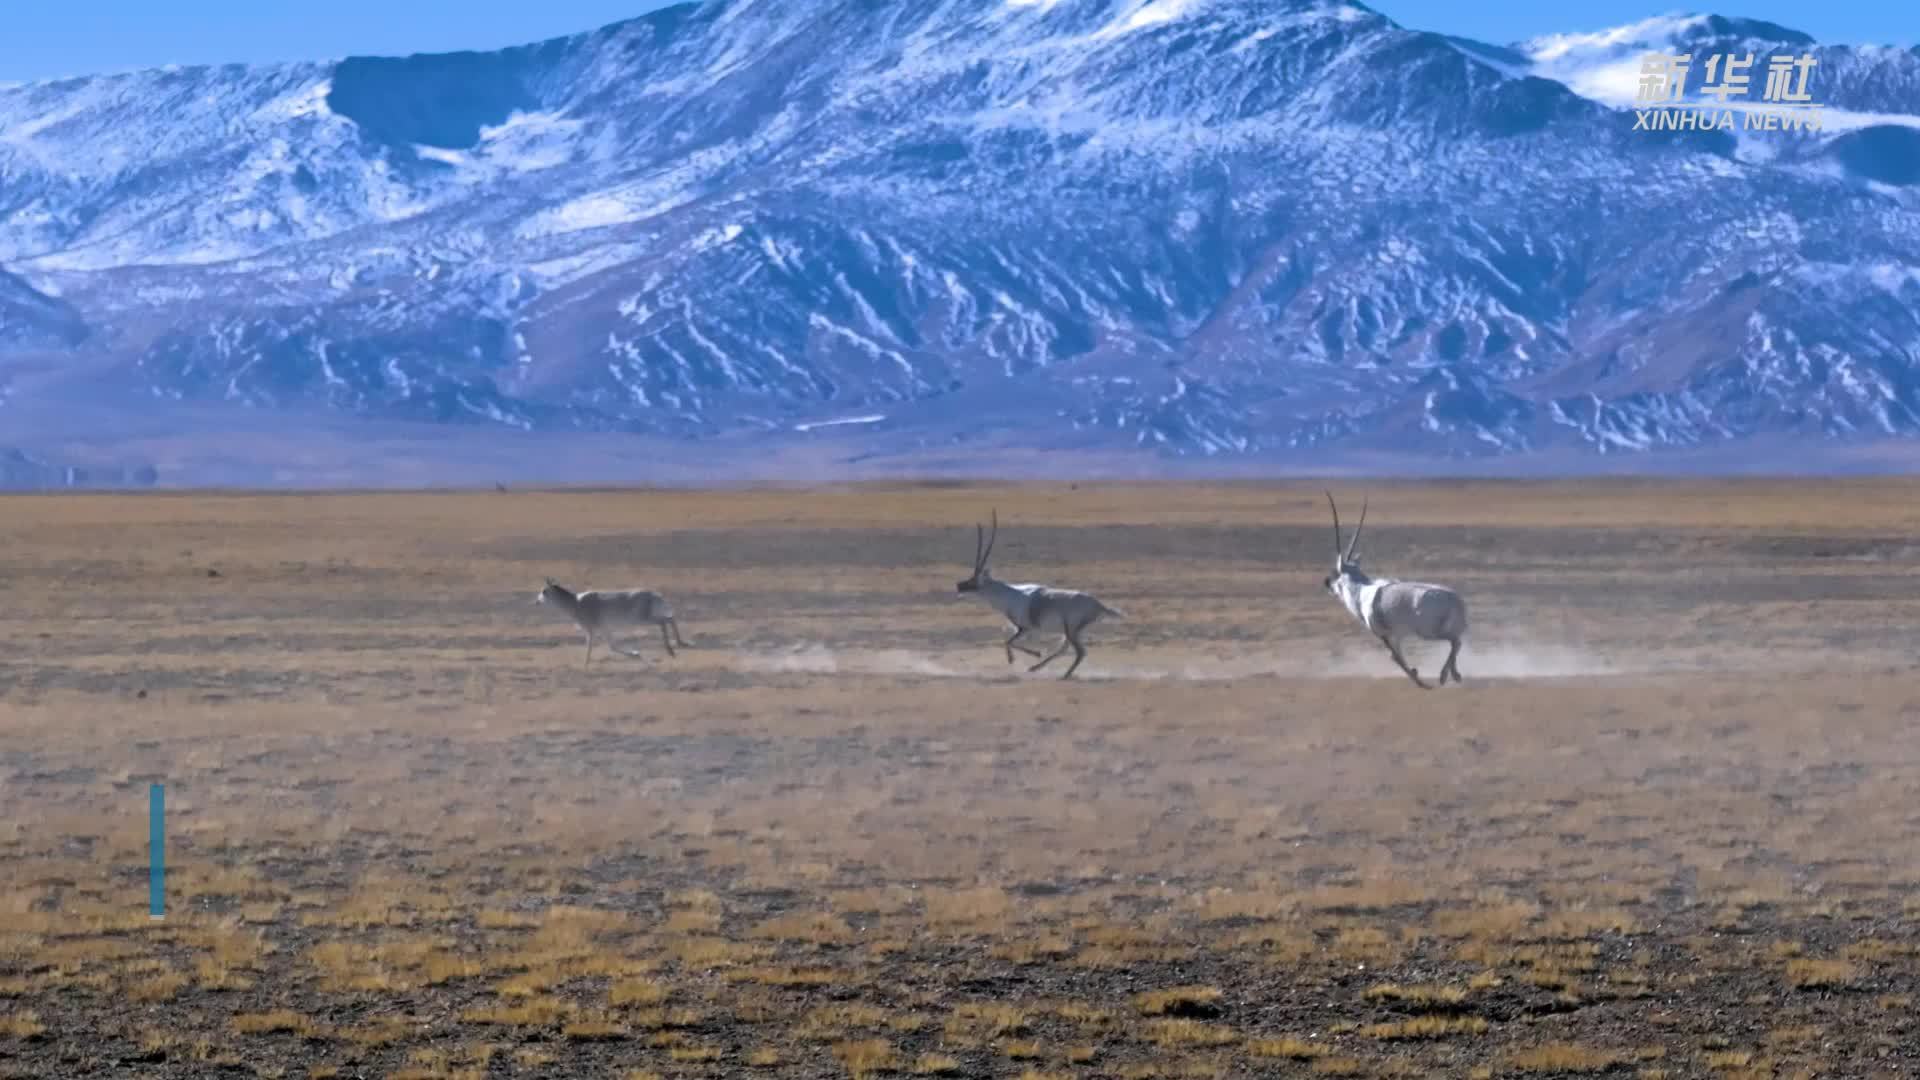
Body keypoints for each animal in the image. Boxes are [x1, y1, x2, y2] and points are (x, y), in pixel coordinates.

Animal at [537, 572, 687, 664]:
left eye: (544, 591)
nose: (537, 600)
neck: (575, 602)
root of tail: (655, 594)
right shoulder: (605, 630)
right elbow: (612, 647)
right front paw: (636, 654)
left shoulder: (591, 631)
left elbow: (590, 648)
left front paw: (585, 664)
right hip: (647, 617)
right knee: (670, 618)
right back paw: (680, 644)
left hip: (643, 619)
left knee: (663, 621)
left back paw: (671, 649)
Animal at [960, 507, 1121, 676]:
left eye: (974, 581)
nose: (960, 586)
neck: (1009, 594)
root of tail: (1099, 605)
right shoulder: (1023, 629)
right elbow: (1009, 641)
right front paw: (1026, 657)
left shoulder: (1025, 628)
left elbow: (1008, 642)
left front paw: (1025, 656)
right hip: (1071, 632)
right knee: (1064, 649)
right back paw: (1036, 668)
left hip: (1071, 630)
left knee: (1080, 652)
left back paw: (1064, 675)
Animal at [1320, 490, 1466, 687]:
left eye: (1337, 574)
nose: (1328, 583)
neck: (1361, 590)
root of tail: (1455, 600)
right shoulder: (1397, 635)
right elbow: (1397, 656)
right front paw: (1417, 674)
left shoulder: (1384, 635)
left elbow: (1394, 657)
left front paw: (1418, 679)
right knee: (1457, 641)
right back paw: (1454, 674)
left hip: (1428, 632)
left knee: (1455, 641)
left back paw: (1444, 676)